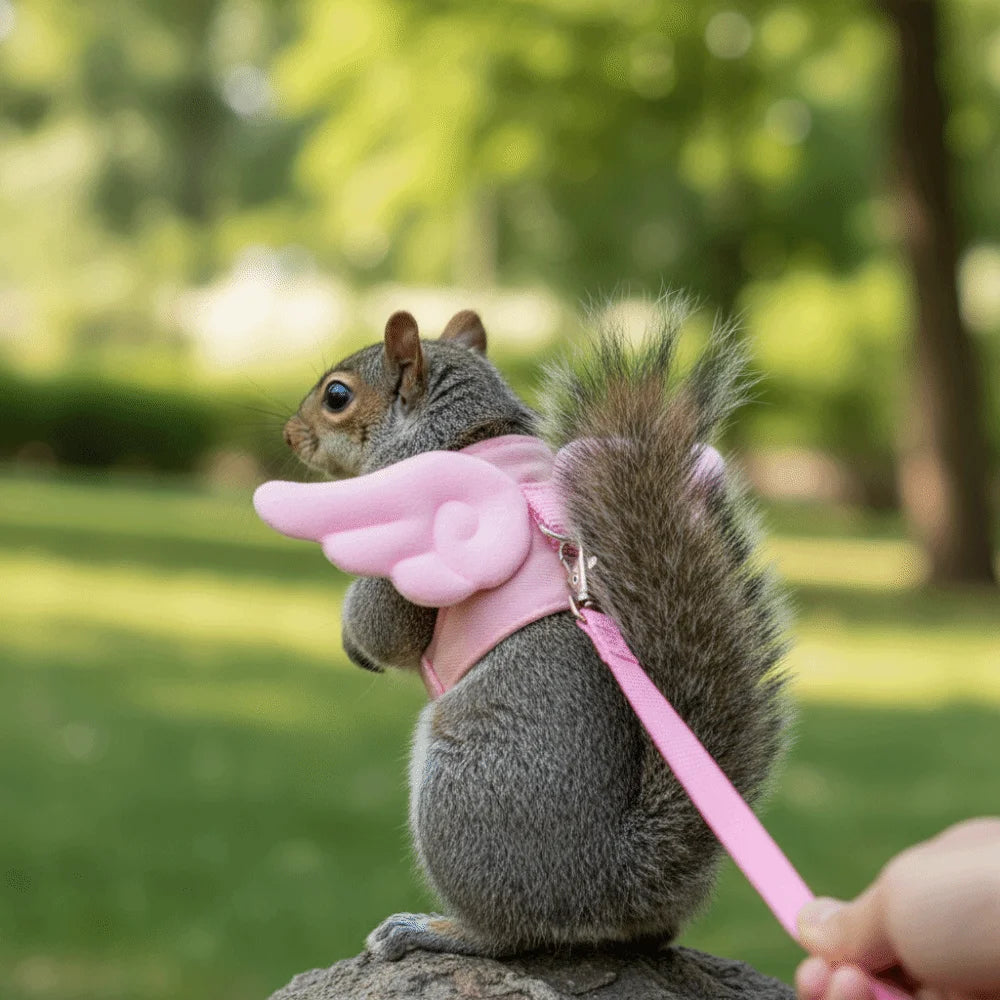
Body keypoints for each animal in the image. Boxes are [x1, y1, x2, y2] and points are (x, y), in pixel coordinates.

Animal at [281, 303, 790, 960]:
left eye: (337, 396)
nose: (288, 435)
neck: (463, 433)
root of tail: (614, 879)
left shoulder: (414, 537)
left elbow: (383, 626)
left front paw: (354, 642)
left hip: (463, 794)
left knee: (512, 934)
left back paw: (435, 930)